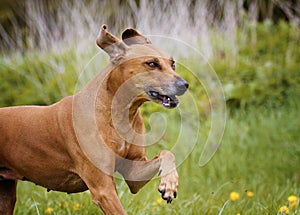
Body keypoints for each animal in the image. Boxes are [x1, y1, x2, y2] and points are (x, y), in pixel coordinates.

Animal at [0, 24, 188, 214]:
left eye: (173, 64)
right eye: (151, 63)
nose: (184, 85)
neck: (118, 113)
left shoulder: (134, 173)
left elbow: (167, 153)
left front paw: (170, 183)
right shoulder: (103, 190)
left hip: (6, 196)